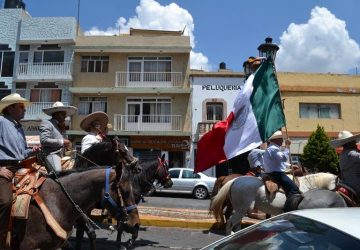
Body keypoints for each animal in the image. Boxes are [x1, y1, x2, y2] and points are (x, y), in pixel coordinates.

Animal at [211, 172, 346, 234]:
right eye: (337, 188)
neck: (307, 187)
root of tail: (234, 180)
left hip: (240, 210)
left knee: (236, 224)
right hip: (241, 209)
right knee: (230, 222)